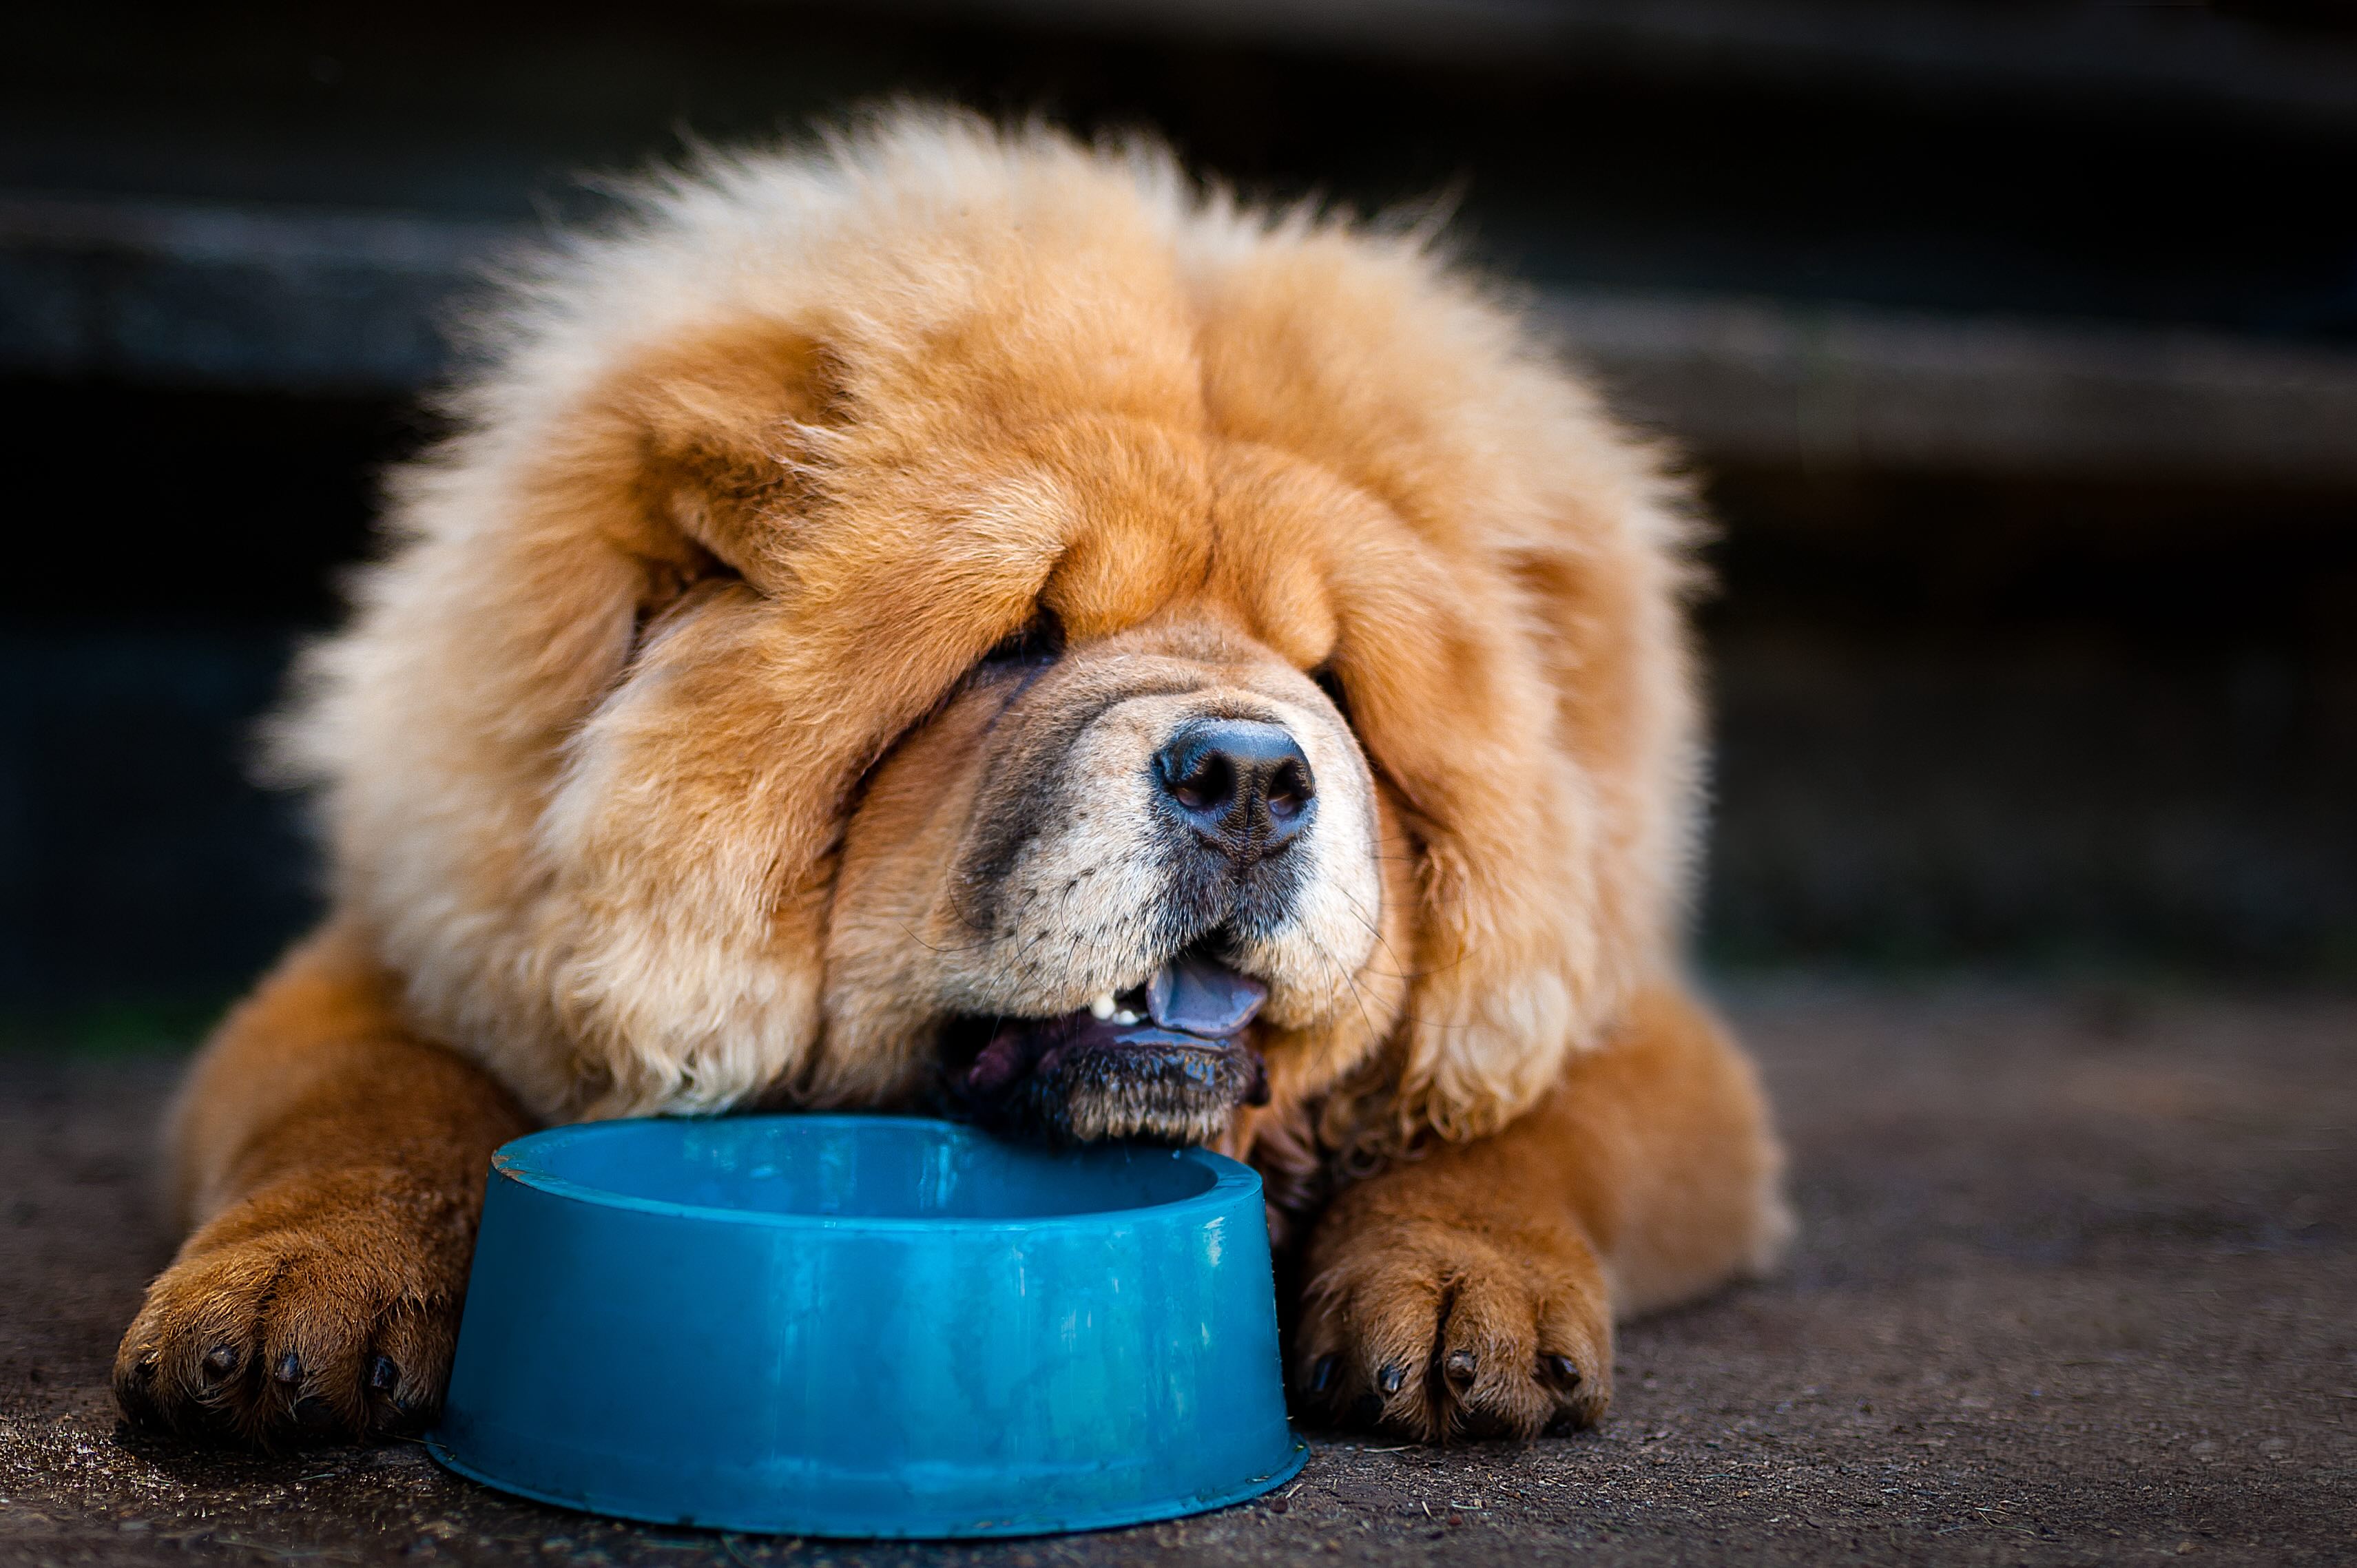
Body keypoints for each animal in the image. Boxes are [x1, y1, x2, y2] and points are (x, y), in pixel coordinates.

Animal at [110, 110, 1782, 1452]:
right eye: (1019, 642)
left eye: (1335, 682)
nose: (1249, 775)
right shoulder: (414, 956)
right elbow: (364, 1108)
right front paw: (284, 1296)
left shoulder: (1630, 1031)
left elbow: (1519, 1133)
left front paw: (1458, 1297)